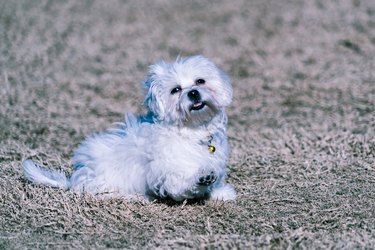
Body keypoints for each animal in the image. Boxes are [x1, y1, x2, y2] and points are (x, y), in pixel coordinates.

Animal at [22, 54, 236, 201]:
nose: (193, 93)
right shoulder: (166, 168)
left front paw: (219, 192)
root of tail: (74, 180)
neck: (192, 131)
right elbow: (180, 181)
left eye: (200, 81)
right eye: (175, 90)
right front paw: (201, 179)